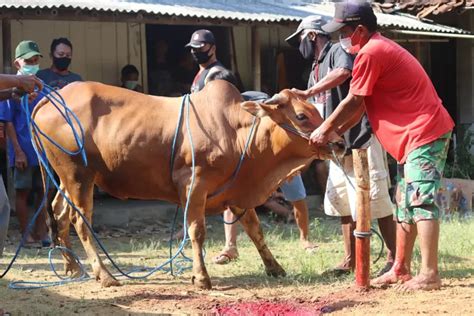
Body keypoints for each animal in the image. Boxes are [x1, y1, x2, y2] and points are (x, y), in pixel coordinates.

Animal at [33, 79, 344, 288]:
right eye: (301, 115)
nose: (339, 142)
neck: (236, 132)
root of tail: (52, 96)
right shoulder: (195, 184)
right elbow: (197, 230)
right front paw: (201, 277)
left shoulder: (236, 192)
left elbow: (255, 231)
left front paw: (274, 267)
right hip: (78, 175)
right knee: (79, 220)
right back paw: (105, 275)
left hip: (67, 179)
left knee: (60, 214)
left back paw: (72, 266)